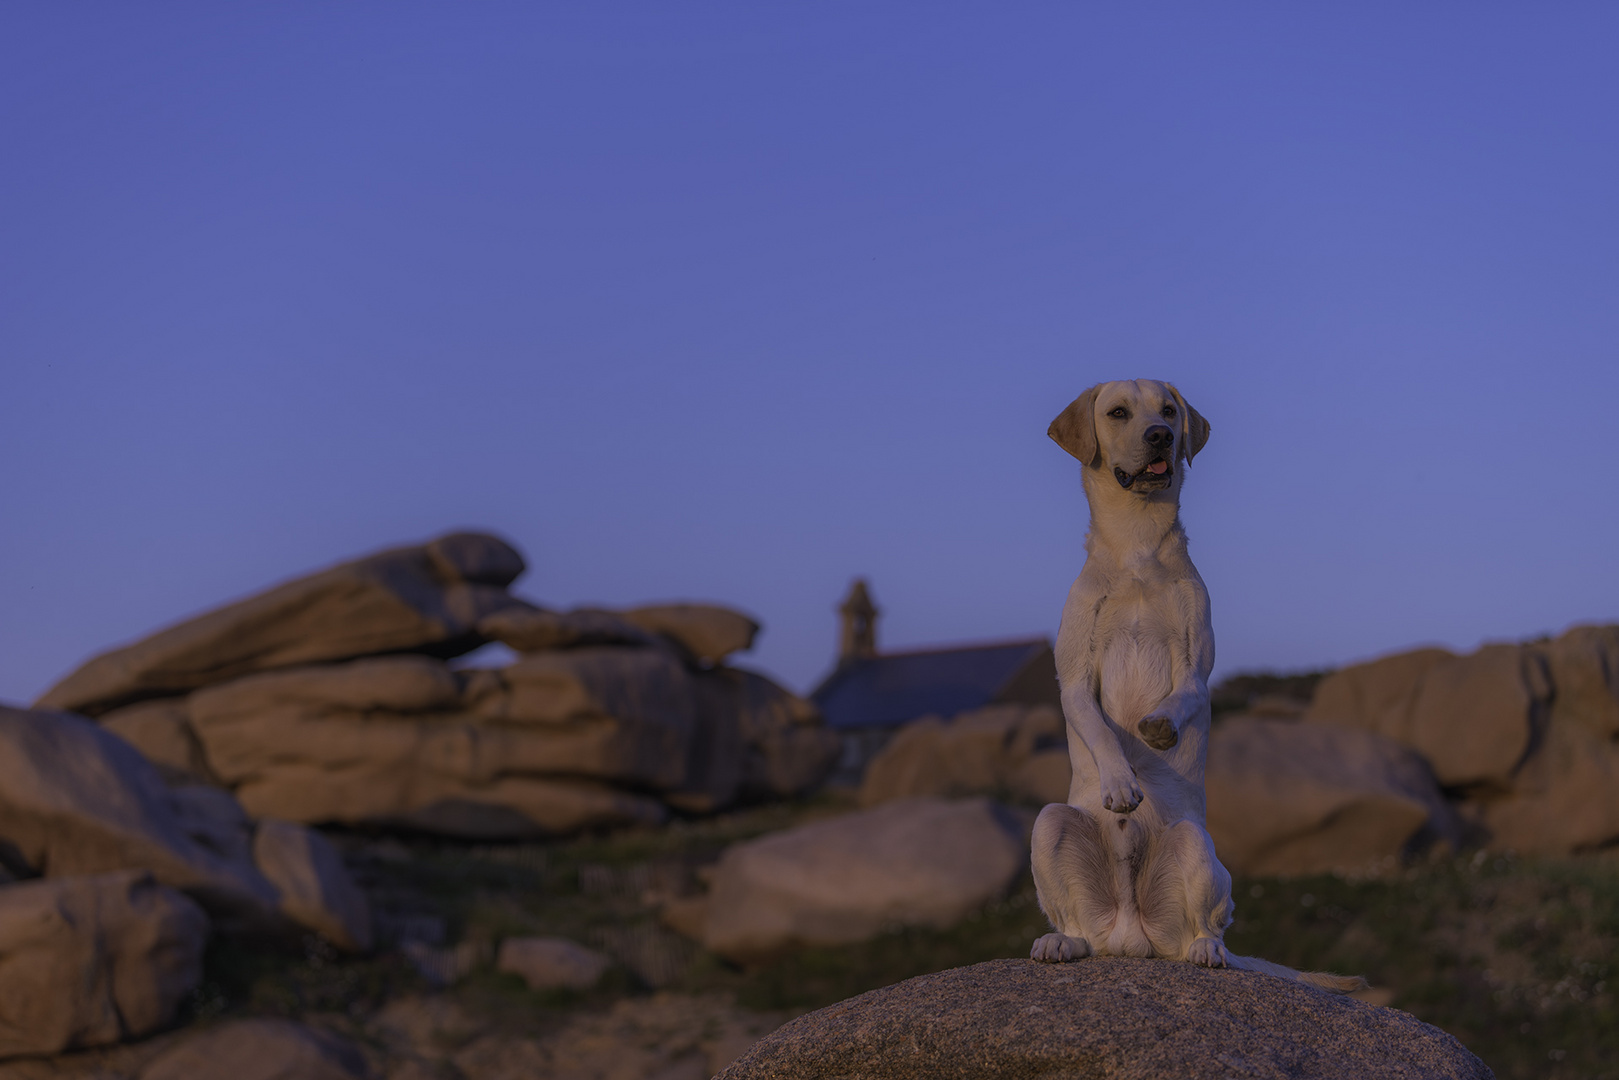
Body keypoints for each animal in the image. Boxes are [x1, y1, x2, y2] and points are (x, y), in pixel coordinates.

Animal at [1029, 380, 1359, 997]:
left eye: (1168, 411)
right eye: (1118, 413)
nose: (1161, 435)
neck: (1136, 548)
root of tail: (1131, 935)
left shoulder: (1196, 672)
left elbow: (1181, 698)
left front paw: (1157, 727)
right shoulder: (1074, 681)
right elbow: (1100, 733)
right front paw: (1121, 784)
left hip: (1197, 850)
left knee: (1206, 931)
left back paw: (1207, 951)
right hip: (1050, 826)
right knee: (1077, 925)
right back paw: (1062, 943)